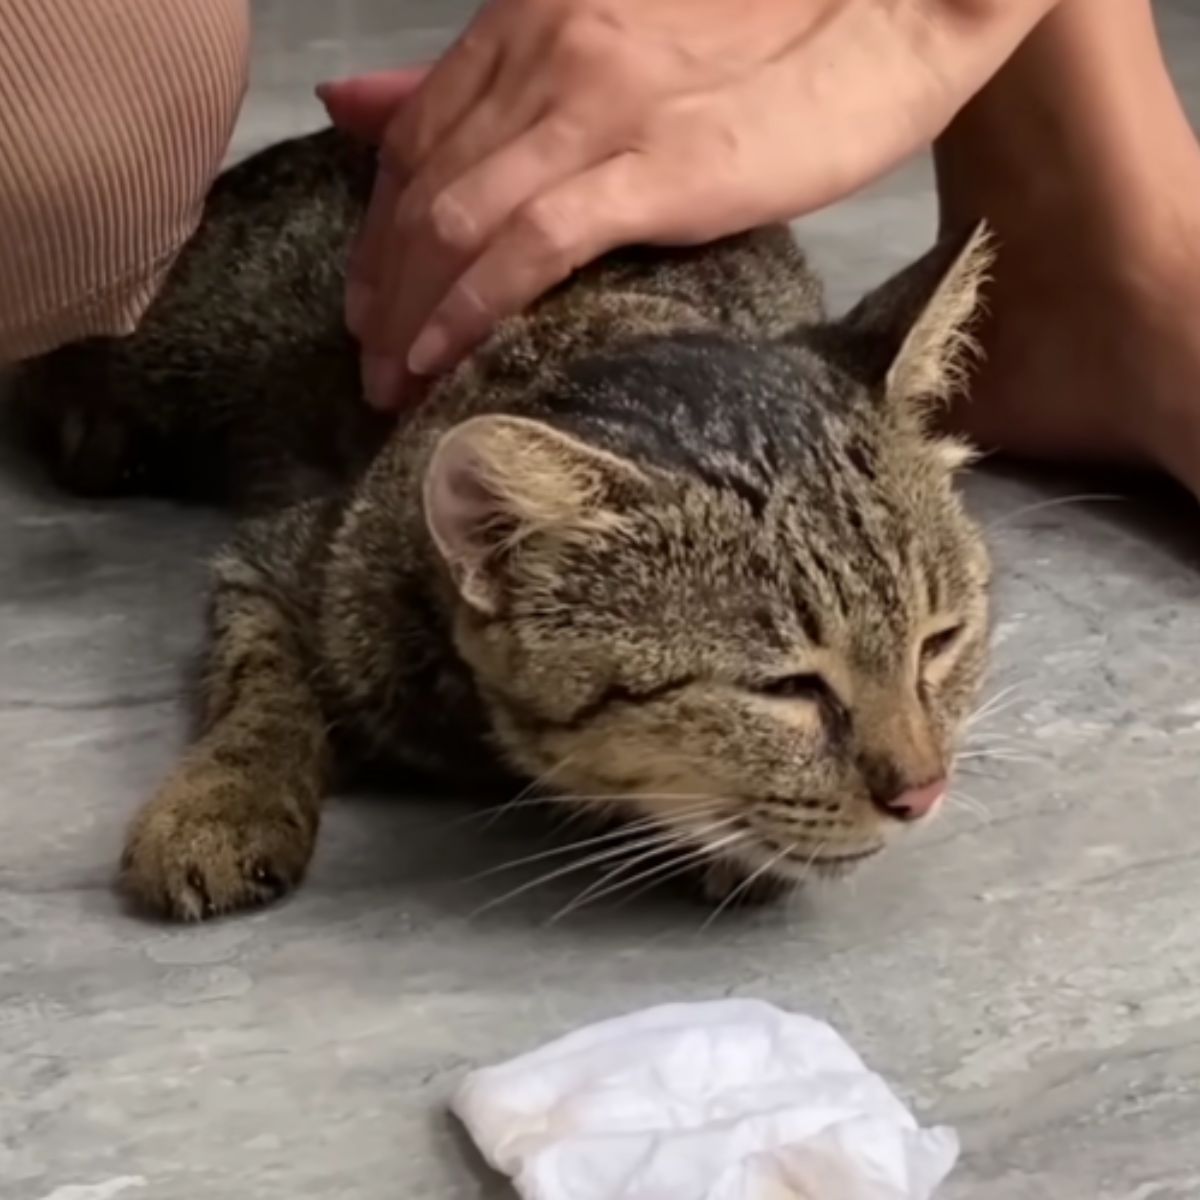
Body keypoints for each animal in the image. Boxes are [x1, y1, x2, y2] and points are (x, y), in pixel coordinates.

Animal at [16, 129, 993, 916]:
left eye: (939, 643)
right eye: (784, 688)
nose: (923, 793)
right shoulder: (278, 561)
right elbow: (261, 684)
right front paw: (220, 802)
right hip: (187, 338)